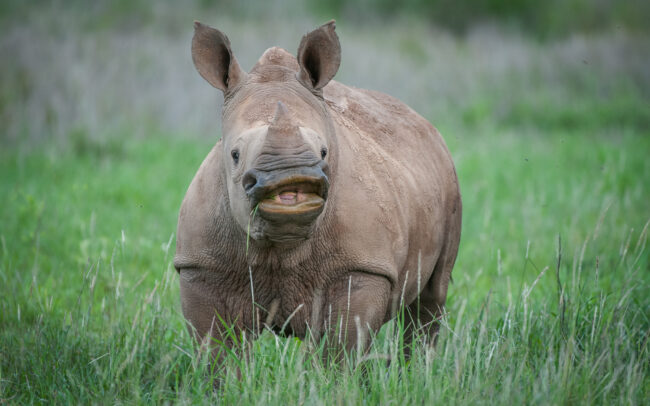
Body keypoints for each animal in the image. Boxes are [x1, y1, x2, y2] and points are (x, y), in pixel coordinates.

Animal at [174, 20, 462, 357]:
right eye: (234, 155)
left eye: (324, 152)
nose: (289, 178)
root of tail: (422, 122)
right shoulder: (201, 266)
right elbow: (217, 347)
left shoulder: (361, 267)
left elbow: (343, 346)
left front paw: (340, 372)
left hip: (448, 176)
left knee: (431, 297)